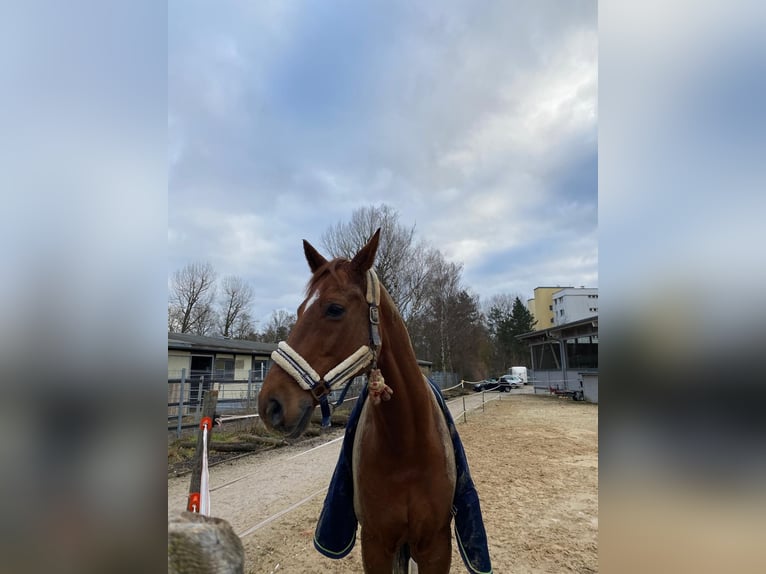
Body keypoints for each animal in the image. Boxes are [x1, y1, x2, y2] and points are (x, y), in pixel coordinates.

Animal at [258, 232, 462, 572]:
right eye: (299, 311)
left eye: (335, 309)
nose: (270, 404)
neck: (407, 443)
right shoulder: (376, 544)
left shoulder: (436, 546)